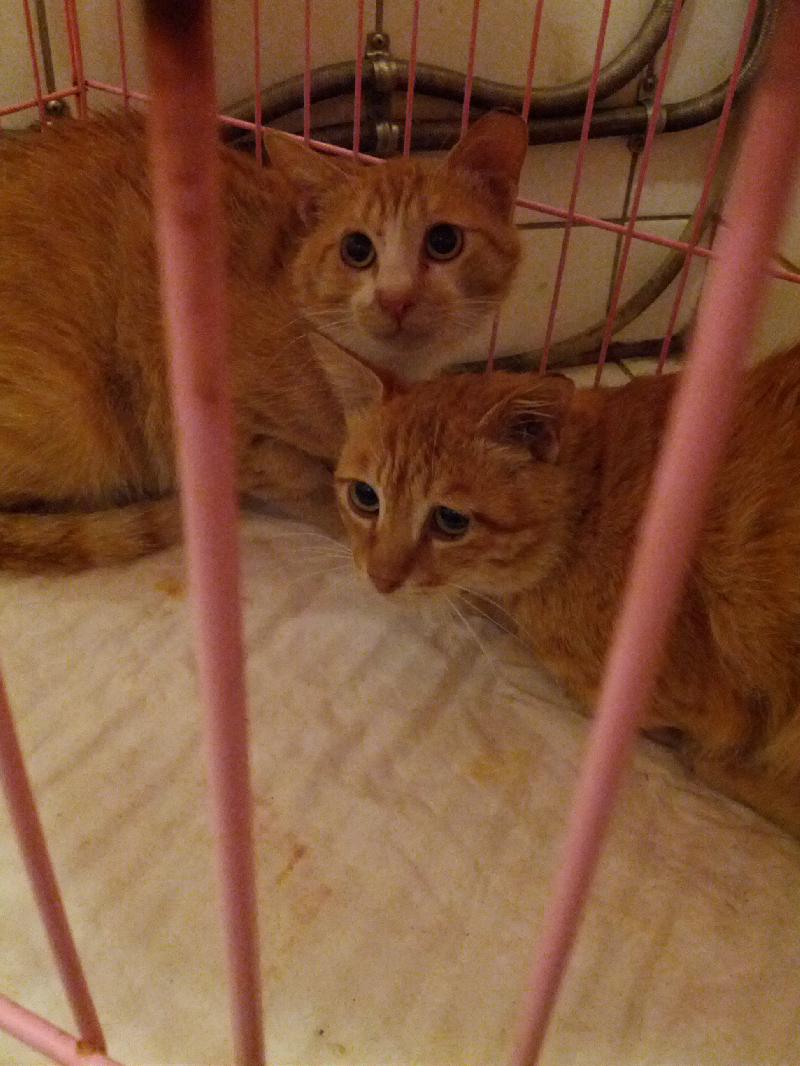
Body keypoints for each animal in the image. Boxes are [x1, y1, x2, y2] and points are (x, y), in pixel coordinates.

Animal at [0, 108, 528, 570]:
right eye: (357, 249)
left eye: (444, 241)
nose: (395, 298)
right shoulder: (211, 428)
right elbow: (307, 481)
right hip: (73, 413)